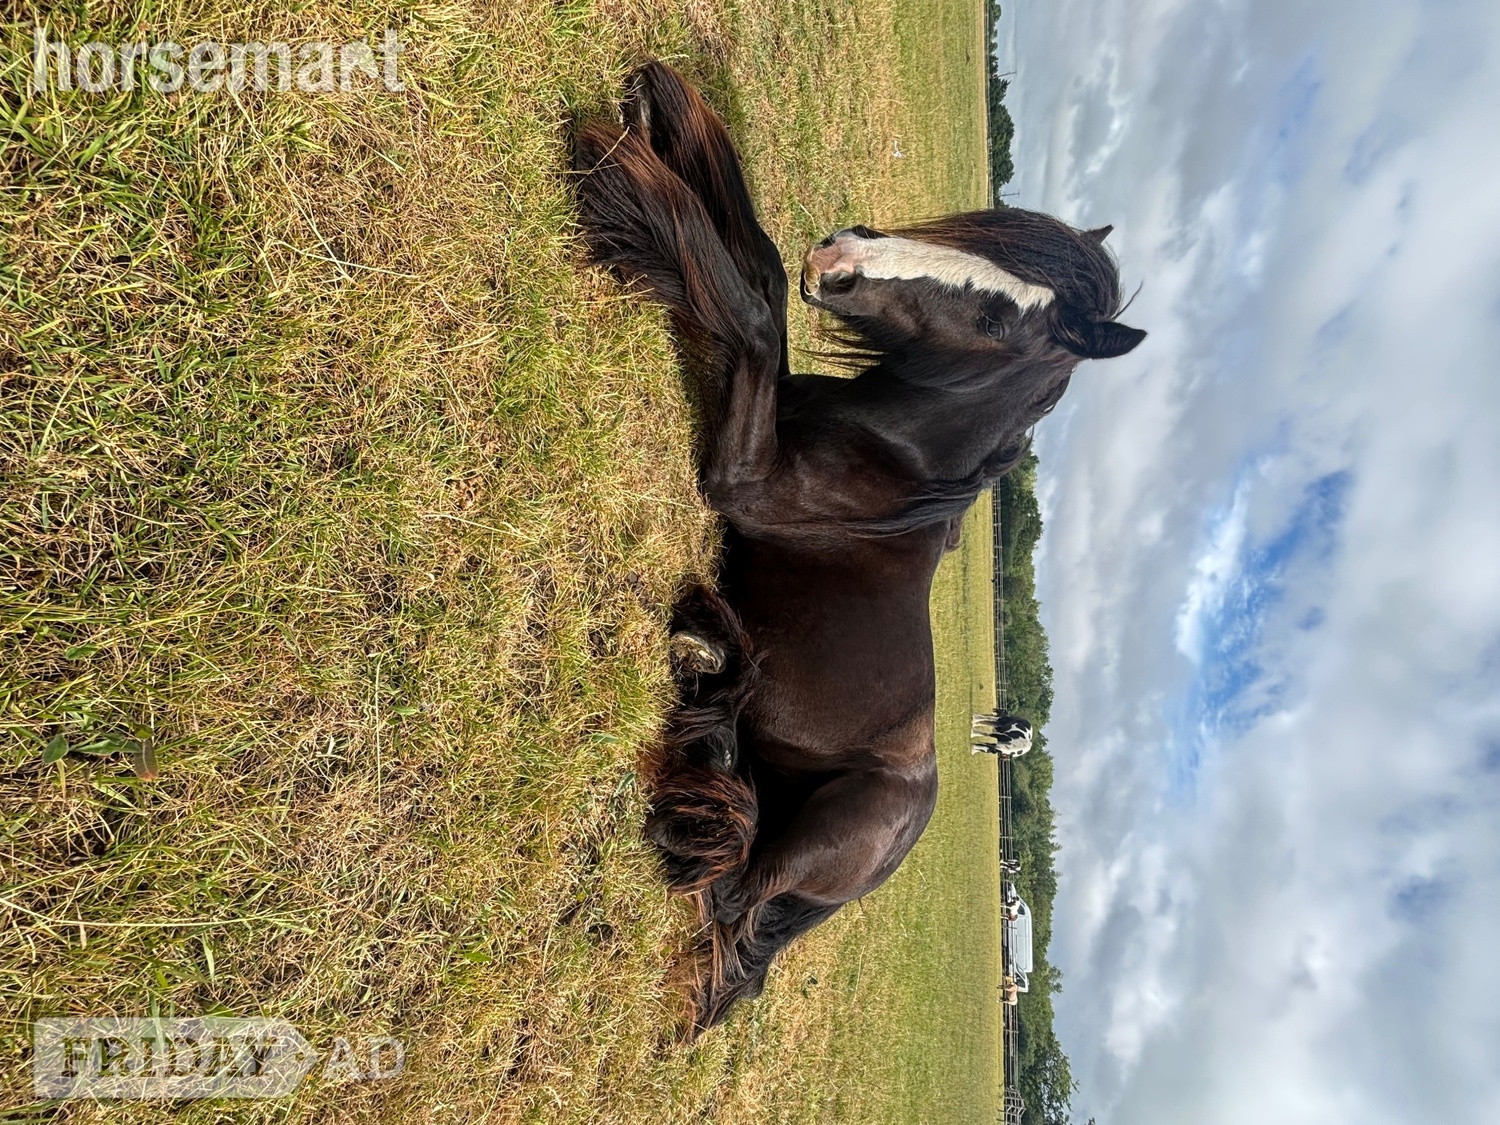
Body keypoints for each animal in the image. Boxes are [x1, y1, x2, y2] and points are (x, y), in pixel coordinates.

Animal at [571, 62, 1145, 1030]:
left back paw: (706, 675)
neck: (895, 460)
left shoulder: (738, 477)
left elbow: (754, 315)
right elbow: (763, 274)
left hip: (823, 834)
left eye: (999, 315)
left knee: (733, 883)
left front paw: (628, 179)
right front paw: (666, 115)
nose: (839, 258)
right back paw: (710, 664)